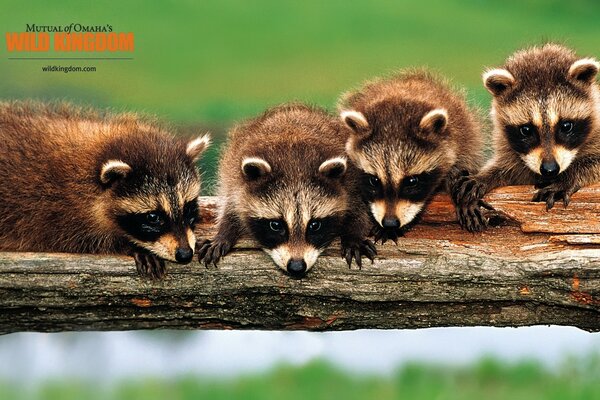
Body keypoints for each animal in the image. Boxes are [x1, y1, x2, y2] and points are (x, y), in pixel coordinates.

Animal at [0, 101, 211, 280]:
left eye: (188, 208)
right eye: (153, 217)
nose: (185, 254)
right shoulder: (55, 212)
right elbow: (82, 240)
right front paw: (131, 246)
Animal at [197, 103, 376, 278]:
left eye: (314, 225)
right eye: (276, 225)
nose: (297, 267)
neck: (294, 164)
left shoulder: (350, 182)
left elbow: (358, 210)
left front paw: (354, 236)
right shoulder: (235, 182)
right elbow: (231, 208)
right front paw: (223, 233)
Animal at [454, 43, 600, 228]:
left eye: (566, 126)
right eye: (526, 130)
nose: (550, 170)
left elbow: (593, 162)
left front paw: (568, 177)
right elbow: (509, 169)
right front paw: (484, 176)